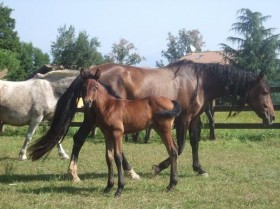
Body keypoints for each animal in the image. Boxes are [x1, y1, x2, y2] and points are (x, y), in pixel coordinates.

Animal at [28, 59, 274, 180]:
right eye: (264, 91)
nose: (272, 117)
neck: (198, 80)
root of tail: (90, 73)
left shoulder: (194, 118)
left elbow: (194, 143)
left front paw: (199, 168)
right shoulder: (182, 118)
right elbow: (180, 146)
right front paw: (158, 168)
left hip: (94, 117)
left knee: (79, 139)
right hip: (95, 117)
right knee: (81, 139)